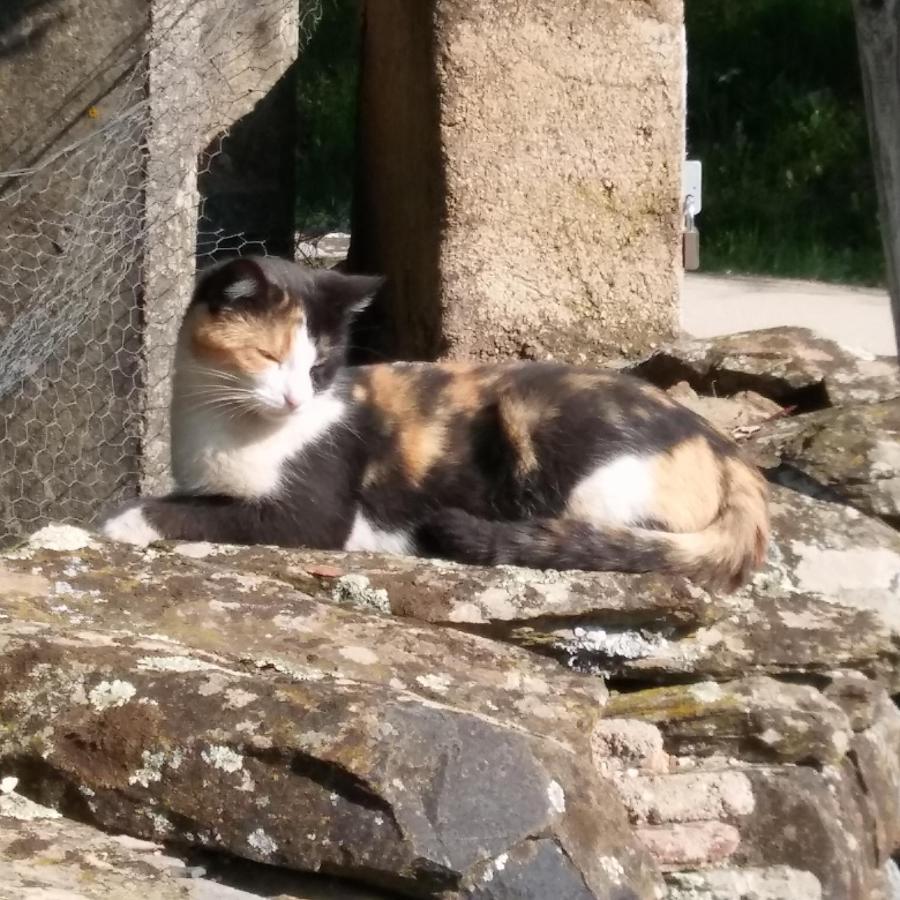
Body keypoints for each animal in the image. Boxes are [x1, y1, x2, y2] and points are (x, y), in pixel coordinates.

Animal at [103, 253, 768, 592]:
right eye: (268, 357)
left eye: (319, 366)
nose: (295, 400)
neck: (222, 425)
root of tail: (729, 451)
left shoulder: (310, 515)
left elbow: (192, 512)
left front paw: (119, 522)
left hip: (548, 426)